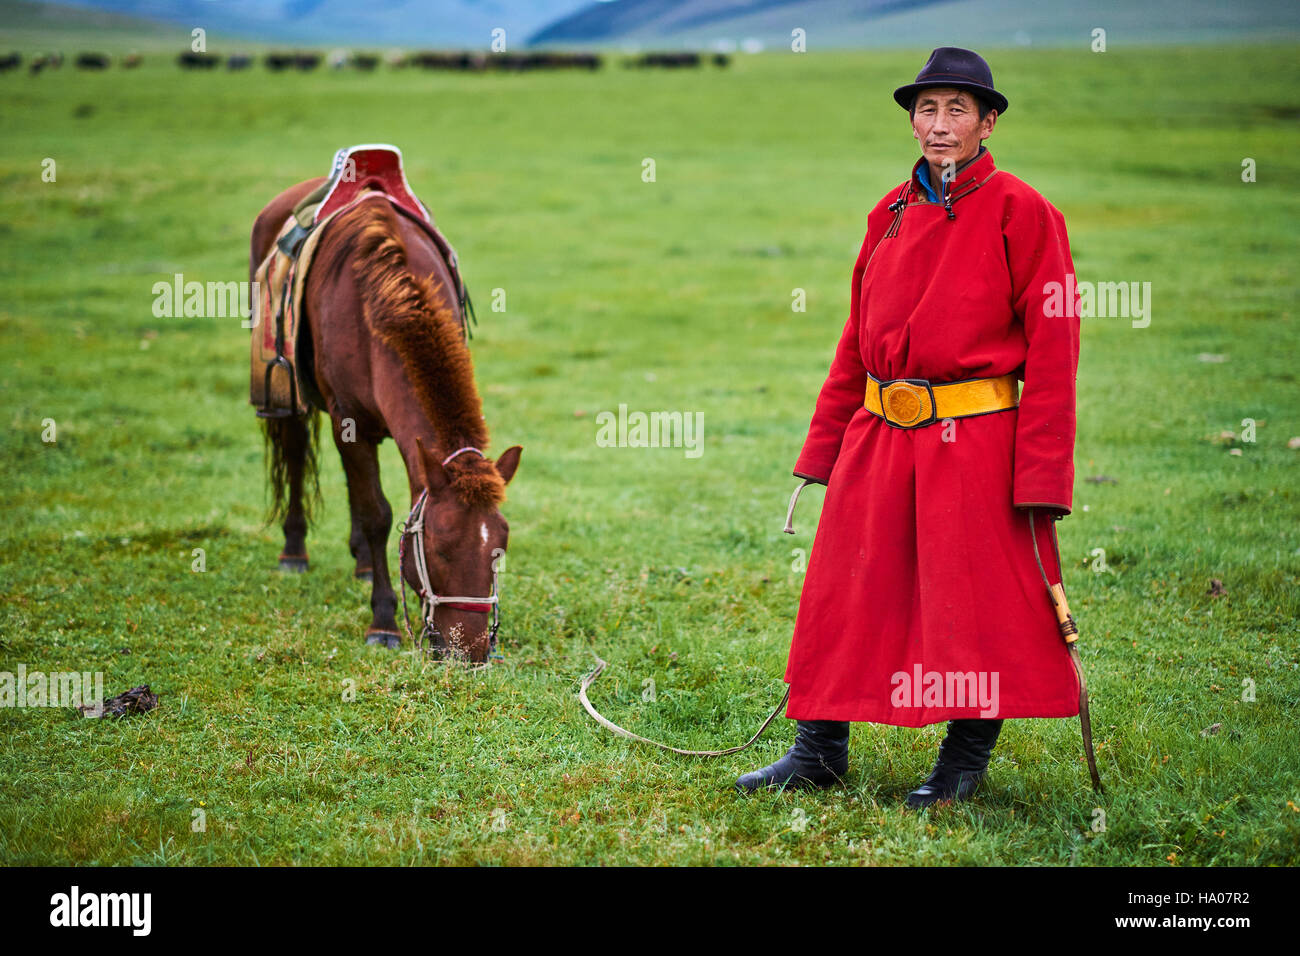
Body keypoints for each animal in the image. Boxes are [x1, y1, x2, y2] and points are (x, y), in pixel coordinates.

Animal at [250, 179, 520, 660]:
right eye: (438, 548)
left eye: (499, 549)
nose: (469, 652)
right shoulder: (349, 420)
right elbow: (376, 513)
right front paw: (383, 621)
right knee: (297, 452)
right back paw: (294, 551)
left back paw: (359, 561)